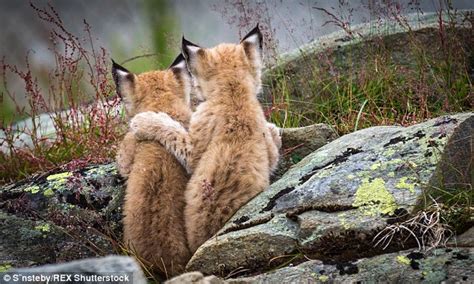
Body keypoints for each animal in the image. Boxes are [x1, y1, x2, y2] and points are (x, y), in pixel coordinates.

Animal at [130, 24, 282, 252]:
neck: (234, 91)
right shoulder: (268, 152)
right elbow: (274, 148)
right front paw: (274, 130)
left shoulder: (194, 152)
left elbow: (174, 132)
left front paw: (144, 121)